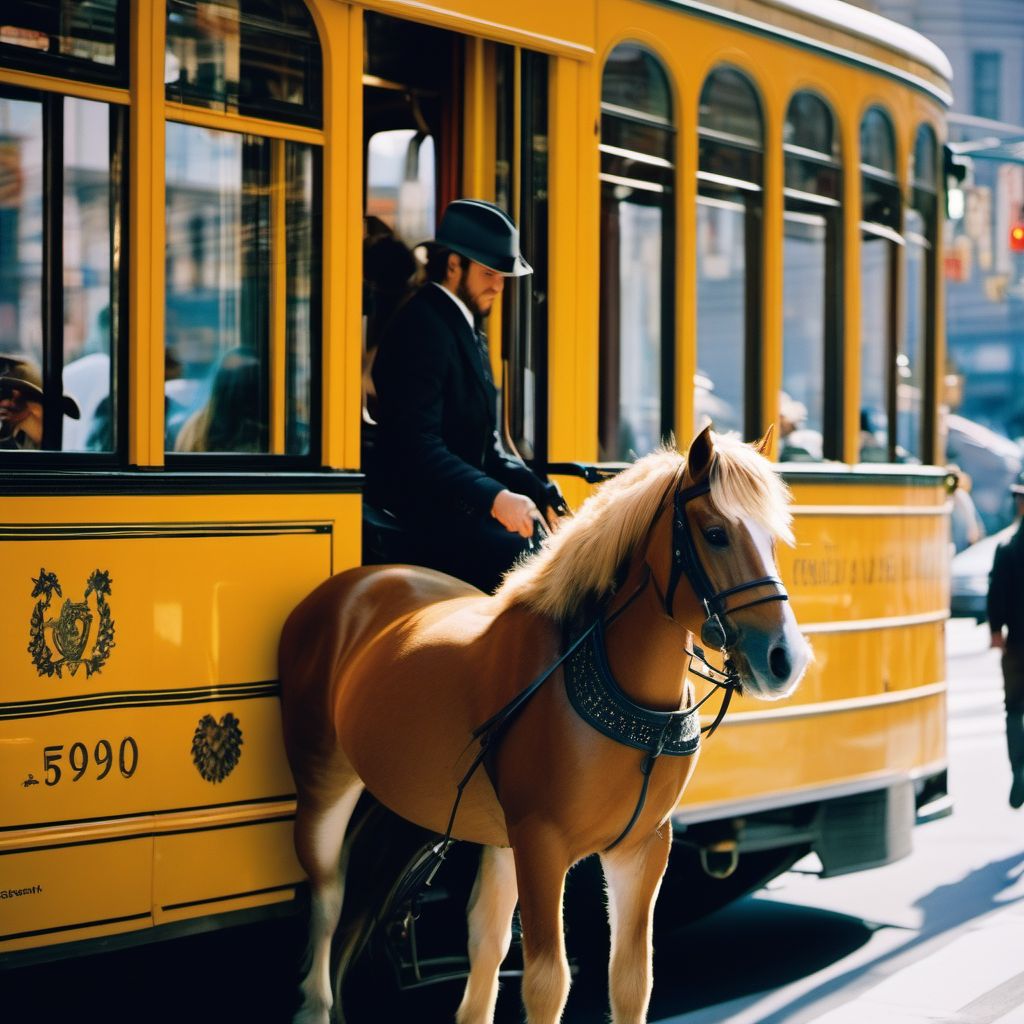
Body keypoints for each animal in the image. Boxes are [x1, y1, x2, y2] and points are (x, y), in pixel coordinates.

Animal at [278, 423, 806, 1024]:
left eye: (773, 540)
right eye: (716, 534)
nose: (784, 659)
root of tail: (356, 584)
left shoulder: (642, 847)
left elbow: (631, 980)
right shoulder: (541, 843)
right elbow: (548, 982)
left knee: (482, 940)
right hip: (323, 780)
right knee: (326, 894)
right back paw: (315, 1002)